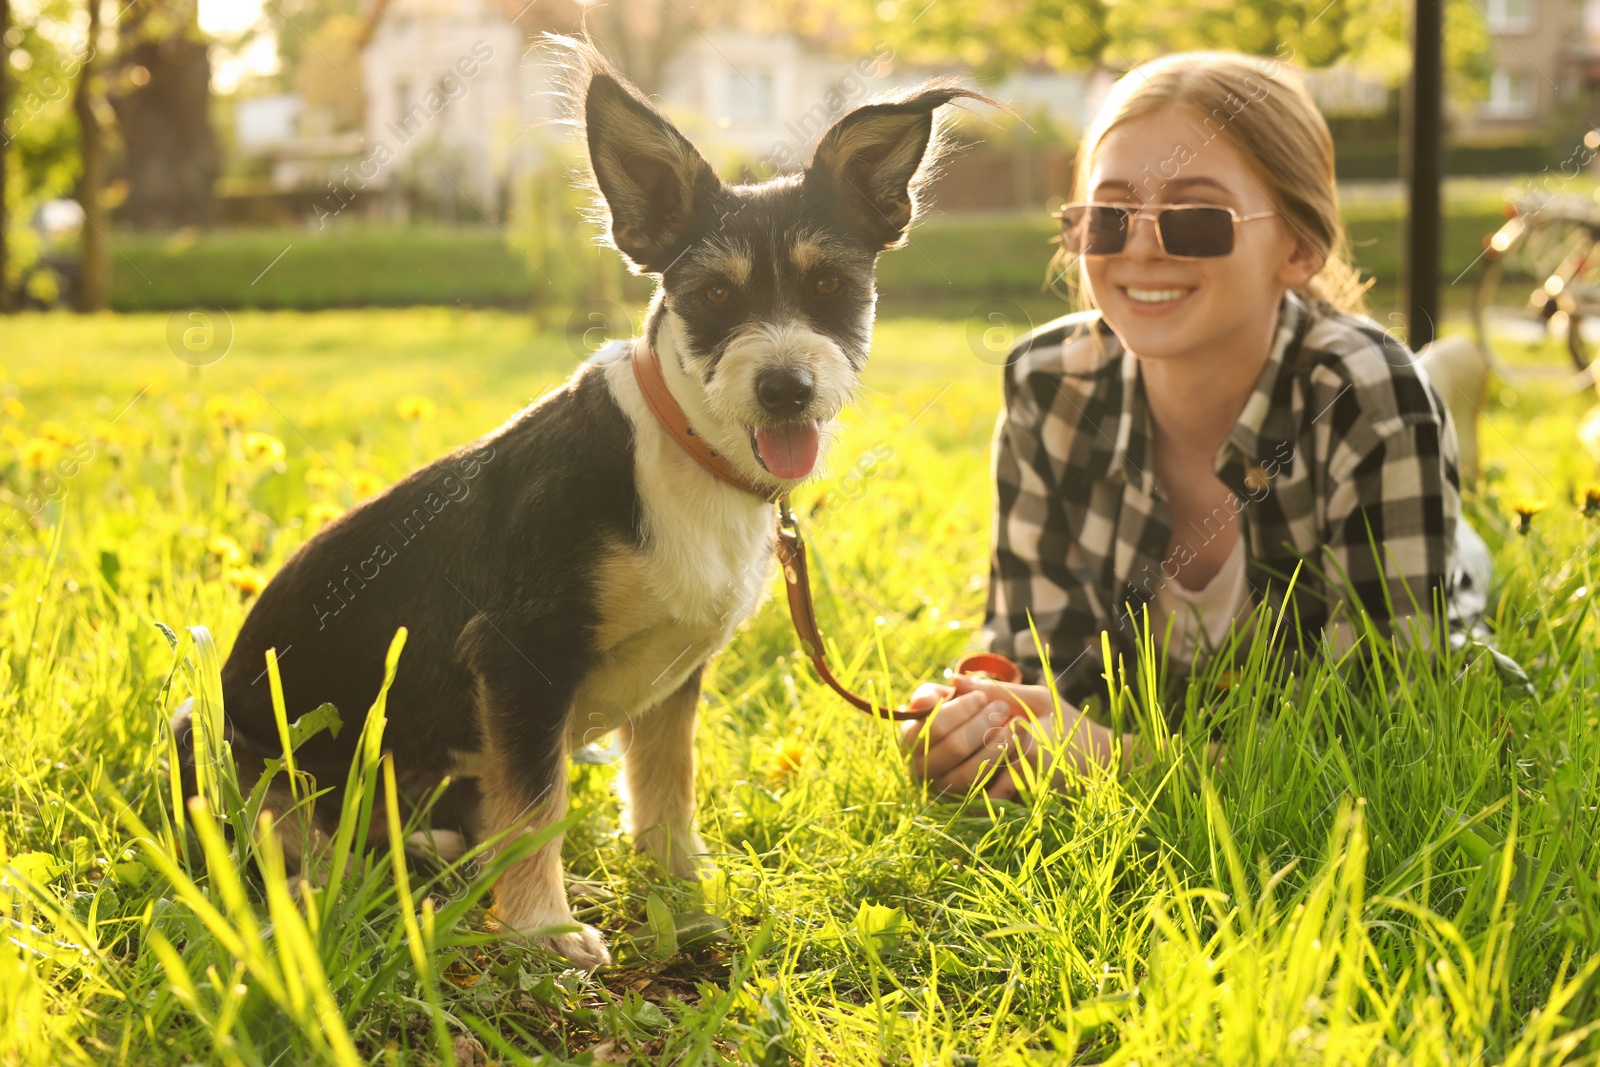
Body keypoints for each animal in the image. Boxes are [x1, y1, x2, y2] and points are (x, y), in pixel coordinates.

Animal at [172, 39, 972, 966]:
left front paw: (681, 889)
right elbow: (537, 804)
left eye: (833, 285)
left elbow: (664, 787)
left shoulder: (673, 677)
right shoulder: (520, 659)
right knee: (288, 840)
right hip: (210, 736)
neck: (687, 457)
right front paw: (543, 930)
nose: (785, 388)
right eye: (714, 296)